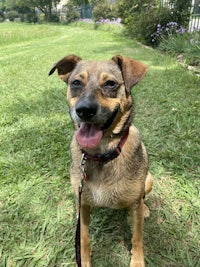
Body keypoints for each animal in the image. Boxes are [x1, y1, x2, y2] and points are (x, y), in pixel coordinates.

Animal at [49, 55, 153, 267]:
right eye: (76, 83)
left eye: (110, 83)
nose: (84, 110)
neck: (101, 153)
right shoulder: (82, 205)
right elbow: (84, 238)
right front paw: (84, 261)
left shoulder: (135, 207)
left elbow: (137, 237)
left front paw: (137, 261)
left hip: (149, 180)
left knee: (142, 199)